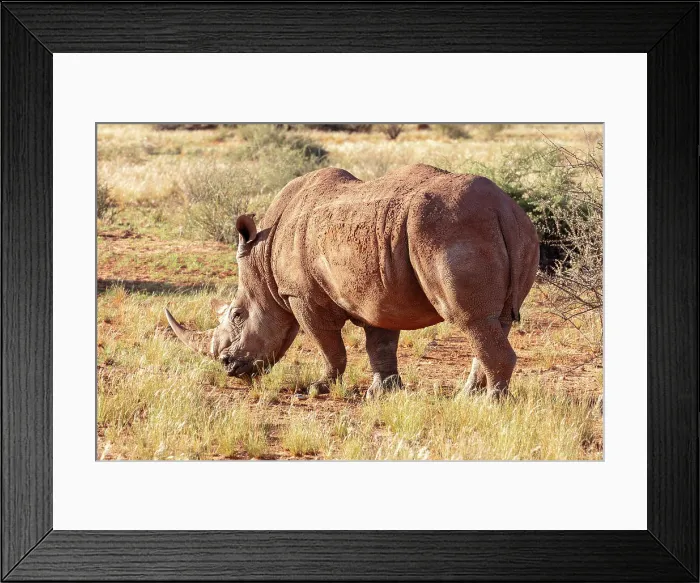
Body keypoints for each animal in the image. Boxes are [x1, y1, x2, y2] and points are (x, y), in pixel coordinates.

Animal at [165, 164, 539, 398]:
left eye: (237, 315)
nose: (228, 367)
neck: (262, 258)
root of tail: (502, 207)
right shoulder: (379, 295)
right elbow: (381, 344)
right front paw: (383, 393)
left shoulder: (302, 296)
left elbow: (329, 345)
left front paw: (317, 388)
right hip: (515, 231)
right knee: (494, 322)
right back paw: (467, 397)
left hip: (448, 229)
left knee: (470, 320)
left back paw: (491, 404)